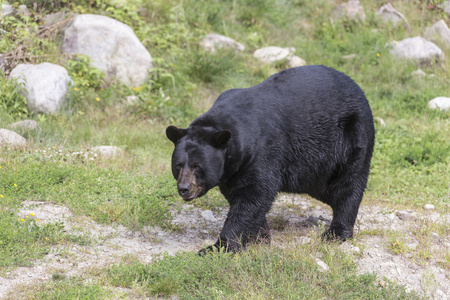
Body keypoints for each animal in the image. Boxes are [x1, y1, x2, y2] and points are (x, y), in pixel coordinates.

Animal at [167, 65, 374, 253]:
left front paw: (218, 247)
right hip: (317, 171)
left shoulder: (263, 152)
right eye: (178, 165)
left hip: (350, 138)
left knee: (348, 185)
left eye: (197, 166)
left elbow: (254, 194)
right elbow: (243, 197)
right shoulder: (232, 170)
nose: (184, 189)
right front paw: (260, 237)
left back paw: (336, 232)